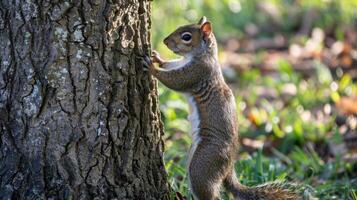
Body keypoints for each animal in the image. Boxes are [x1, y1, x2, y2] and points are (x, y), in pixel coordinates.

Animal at [142, 17, 300, 200]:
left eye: (186, 36)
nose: (165, 41)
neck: (203, 55)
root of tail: (229, 166)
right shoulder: (183, 63)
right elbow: (172, 64)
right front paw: (158, 58)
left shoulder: (198, 72)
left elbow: (176, 81)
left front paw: (152, 68)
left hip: (204, 163)